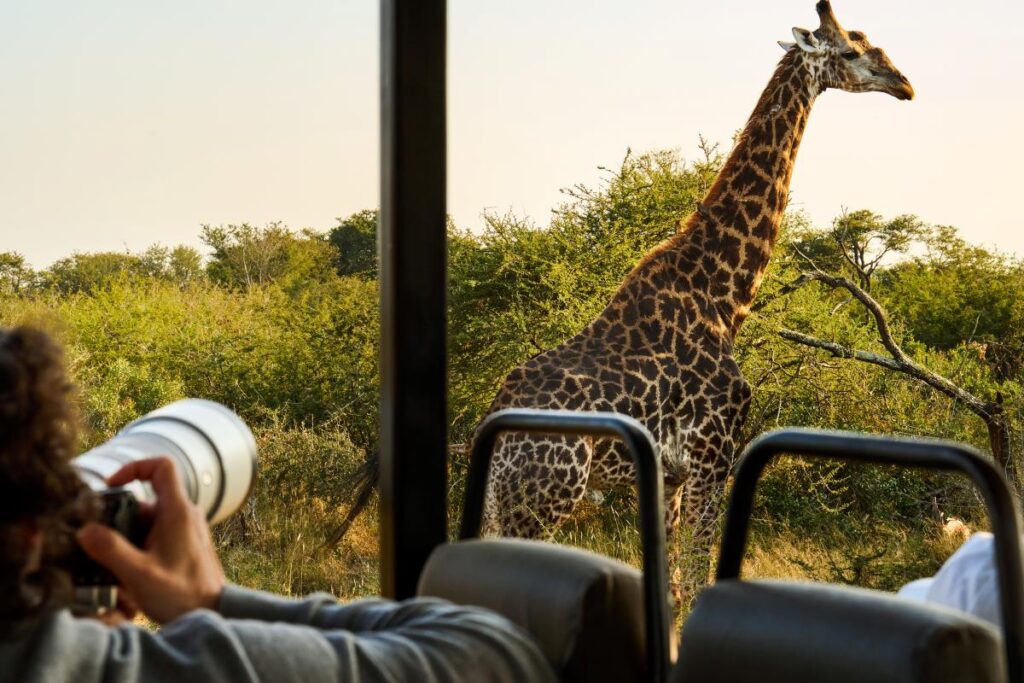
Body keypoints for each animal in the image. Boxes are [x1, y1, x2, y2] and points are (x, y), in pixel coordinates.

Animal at [475, 0, 917, 598]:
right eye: (851, 50)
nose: (904, 85)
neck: (723, 295)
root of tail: (495, 434)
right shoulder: (714, 452)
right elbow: (696, 576)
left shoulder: (672, 471)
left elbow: (672, 582)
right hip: (544, 496)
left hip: (507, 501)